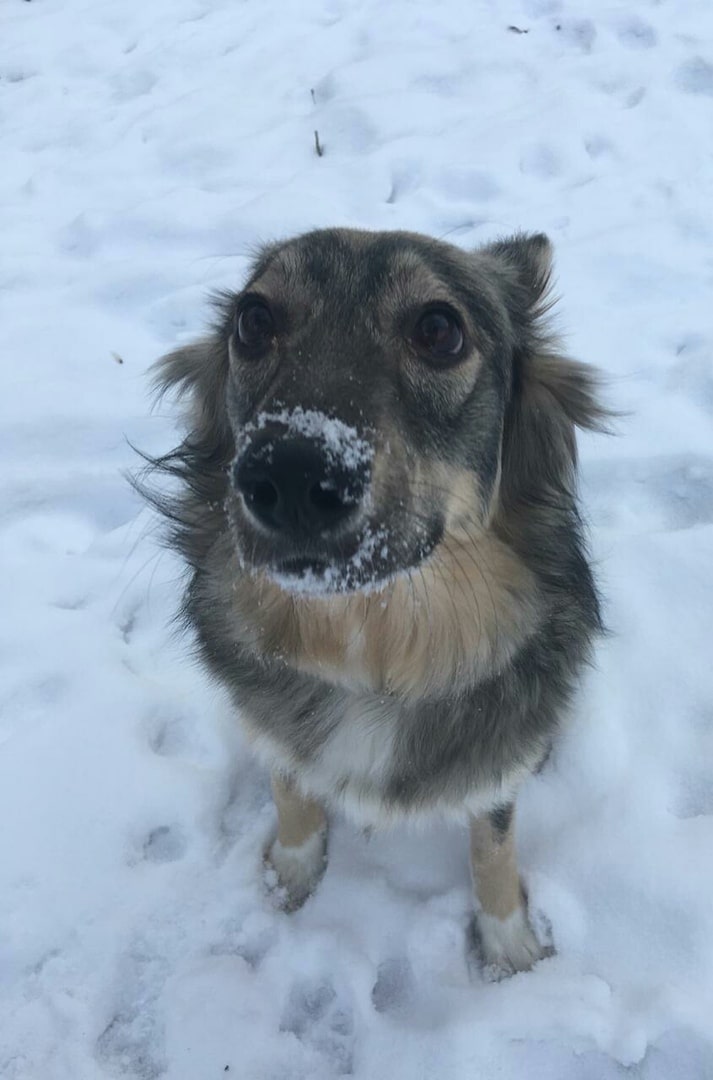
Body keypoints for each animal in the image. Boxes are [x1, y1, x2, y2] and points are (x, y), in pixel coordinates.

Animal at [143, 227, 609, 980]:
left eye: (439, 330)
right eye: (252, 320)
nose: (289, 473)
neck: (373, 640)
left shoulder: (496, 759)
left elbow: (493, 840)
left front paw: (508, 944)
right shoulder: (276, 721)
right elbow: (291, 789)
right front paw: (289, 874)